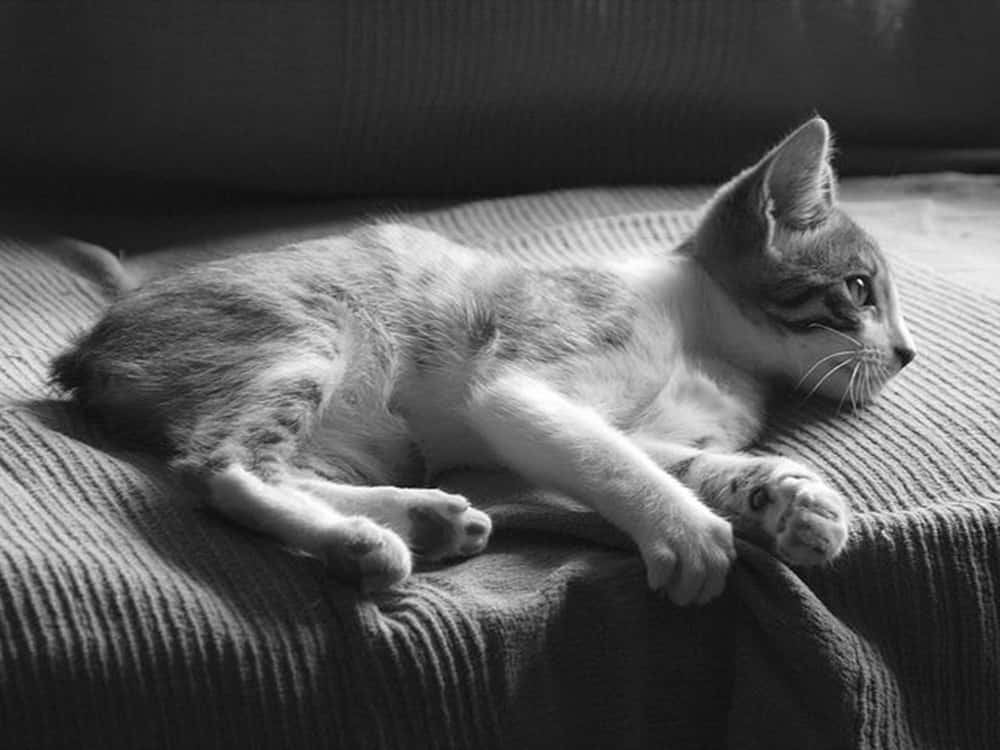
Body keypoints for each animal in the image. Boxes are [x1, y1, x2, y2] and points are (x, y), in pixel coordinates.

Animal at [52, 120, 916, 608]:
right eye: (859, 289)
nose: (908, 354)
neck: (705, 342)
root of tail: (86, 348)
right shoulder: (519, 384)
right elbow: (610, 458)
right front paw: (686, 531)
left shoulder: (665, 427)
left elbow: (668, 457)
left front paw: (788, 498)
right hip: (308, 337)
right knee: (219, 468)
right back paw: (360, 543)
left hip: (372, 435)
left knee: (281, 465)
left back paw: (421, 519)